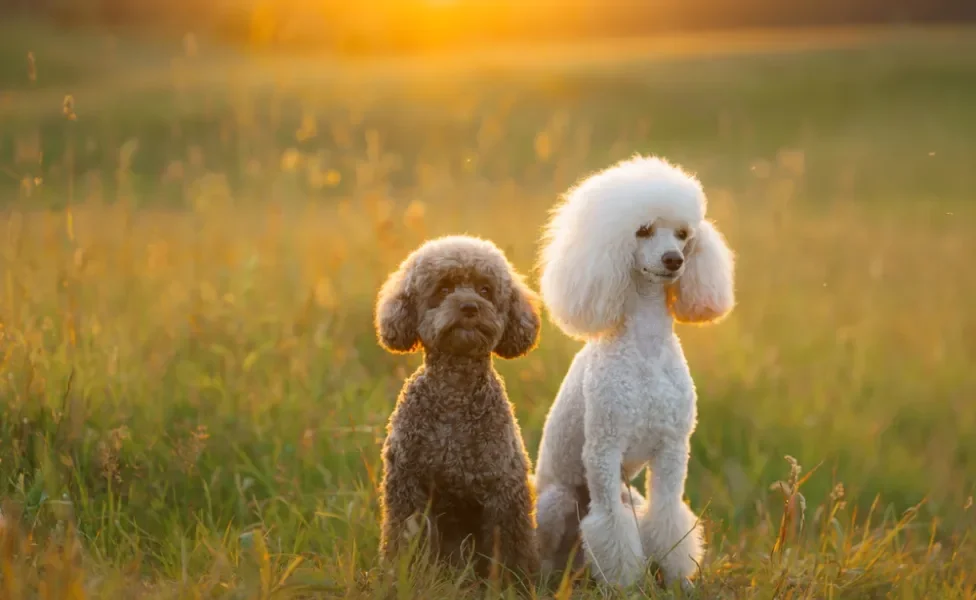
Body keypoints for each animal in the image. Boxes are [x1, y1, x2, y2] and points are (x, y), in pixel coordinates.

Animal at [376, 236, 540, 580]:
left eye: (485, 290)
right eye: (444, 288)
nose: (469, 307)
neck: (455, 392)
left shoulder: (503, 490)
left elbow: (510, 546)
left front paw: (513, 582)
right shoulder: (407, 485)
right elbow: (403, 540)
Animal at [532, 156, 732, 592]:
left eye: (683, 234)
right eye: (642, 230)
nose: (674, 259)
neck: (645, 348)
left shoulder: (673, 447)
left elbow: (668, 517)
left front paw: (678, 581)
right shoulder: (604, 450)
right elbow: (611, 526)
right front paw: (622, 586)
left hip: (629, 495)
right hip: (557, 503)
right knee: (548, 554)